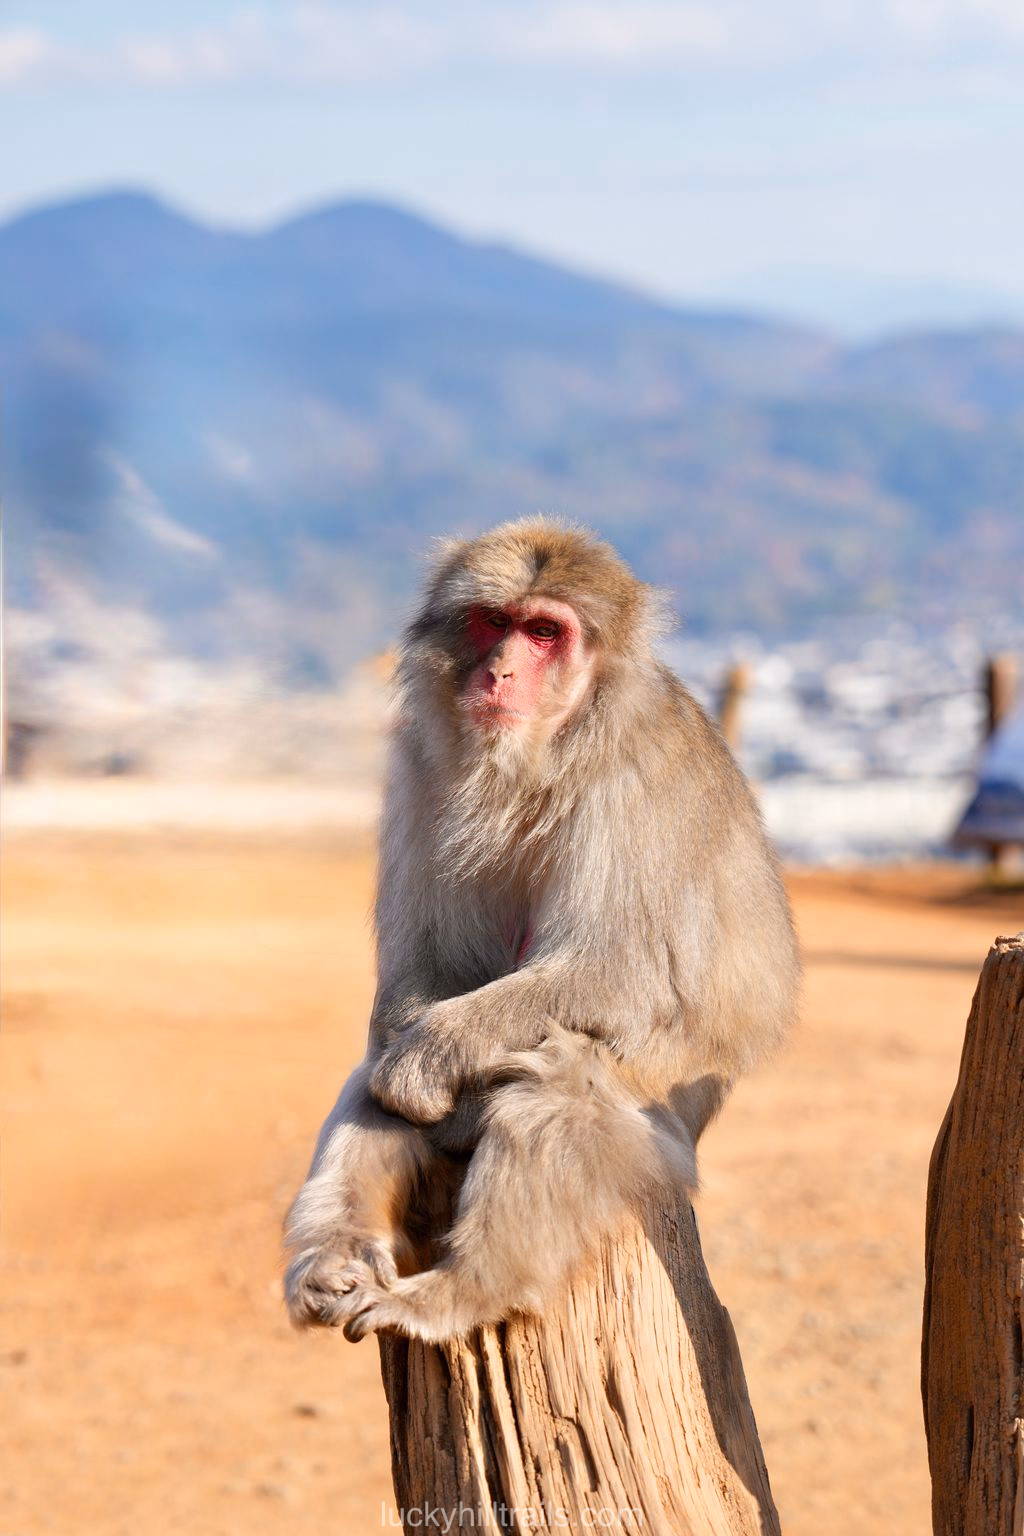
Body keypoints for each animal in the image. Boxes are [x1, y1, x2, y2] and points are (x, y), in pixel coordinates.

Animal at [283, 517, 799, 1344]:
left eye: (545, 632)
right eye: (493, 621)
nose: (498, 672)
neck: (544, 753)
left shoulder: (631, 783)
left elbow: (618, 973)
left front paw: (426, 1065)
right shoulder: (419, 767)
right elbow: (424, 973)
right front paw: (416, 1073)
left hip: (658, 1141)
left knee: (560, 1073)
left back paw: (463, 1290)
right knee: (383, 1060)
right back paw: (335, 1258)